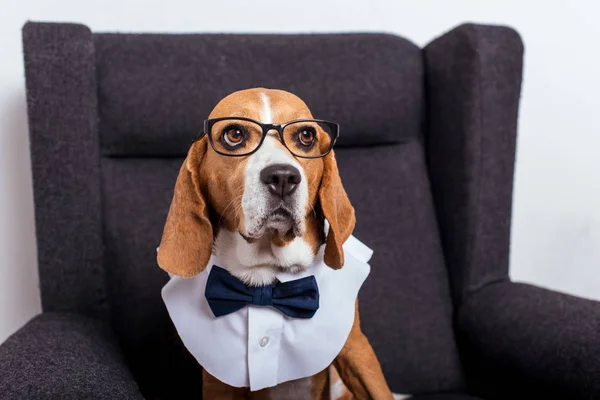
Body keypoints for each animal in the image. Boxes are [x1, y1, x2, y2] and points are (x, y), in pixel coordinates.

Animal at [157, 89, 396, 398]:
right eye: (234, 134)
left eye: (306, 135)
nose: (283, 176)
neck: (268, 272)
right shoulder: (218, 381)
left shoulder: (356, 349)